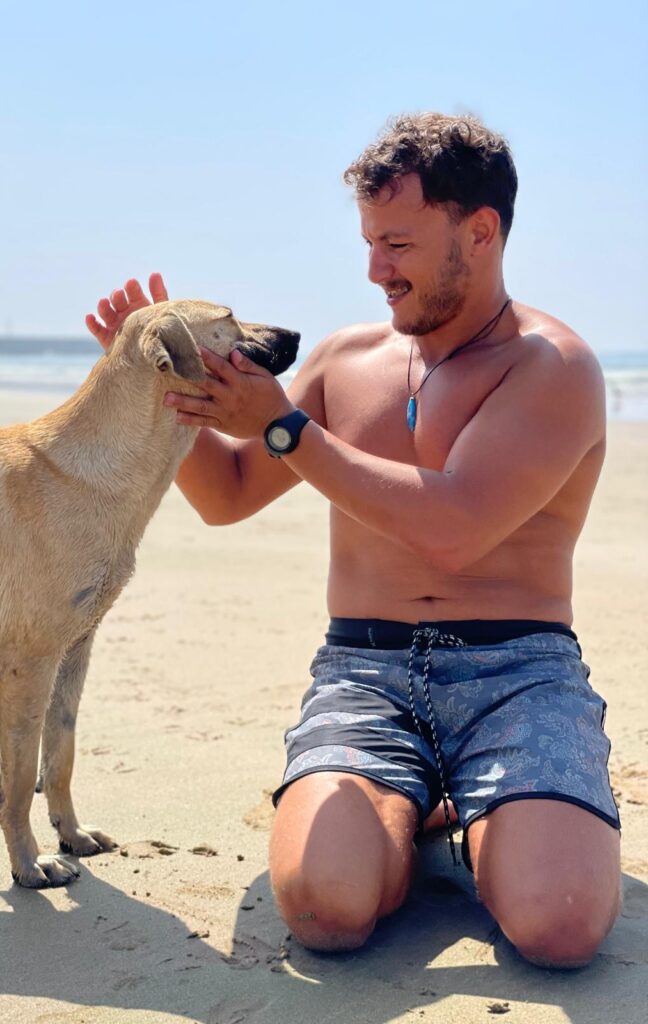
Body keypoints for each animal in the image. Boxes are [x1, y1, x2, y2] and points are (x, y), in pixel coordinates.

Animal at [0, 299, 298, 888]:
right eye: (229, 316)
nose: (296, 334)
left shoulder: (75, 649)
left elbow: (60, 752)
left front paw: (72, 834)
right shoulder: (31, 661)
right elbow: (21, 777)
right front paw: (28, 862)